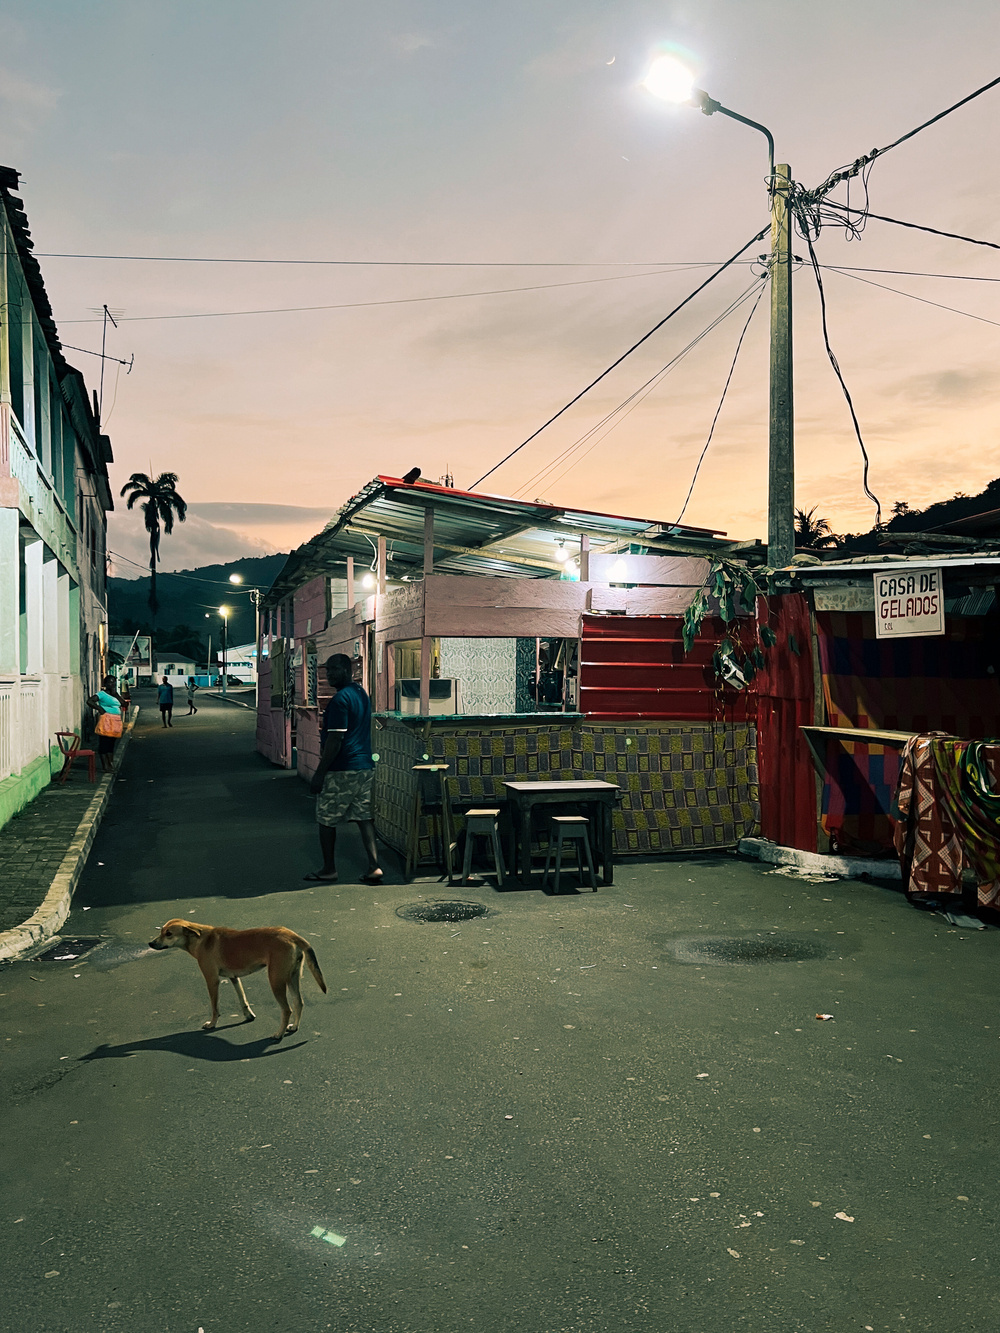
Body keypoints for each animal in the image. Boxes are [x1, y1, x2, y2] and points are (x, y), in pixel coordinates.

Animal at [148, 917, 329, 1039]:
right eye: (161, 931)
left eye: (168, 934)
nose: (151, 943)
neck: (200, 939)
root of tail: (291, 935)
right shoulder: (234, 978)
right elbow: (243, 999)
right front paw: (249, 1015)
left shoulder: (212, 980)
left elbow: (215, 1007)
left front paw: (212, 1024)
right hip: (292, 978)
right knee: (299, 1003)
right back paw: (294, 1027)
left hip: (276, 981)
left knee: (287, 1009)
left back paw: (279, 1034)